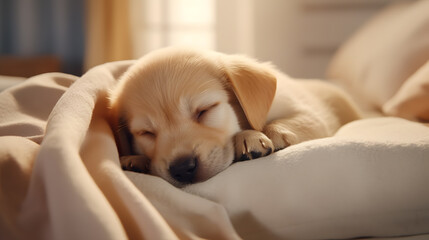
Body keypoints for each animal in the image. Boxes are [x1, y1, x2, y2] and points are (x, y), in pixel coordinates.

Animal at [108, 46, 360, 186]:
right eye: (145, 133)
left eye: (204, 110)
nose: (182, 168)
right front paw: (134, 160)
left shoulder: (310, 114)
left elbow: (285, 123)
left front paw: (254, 136)